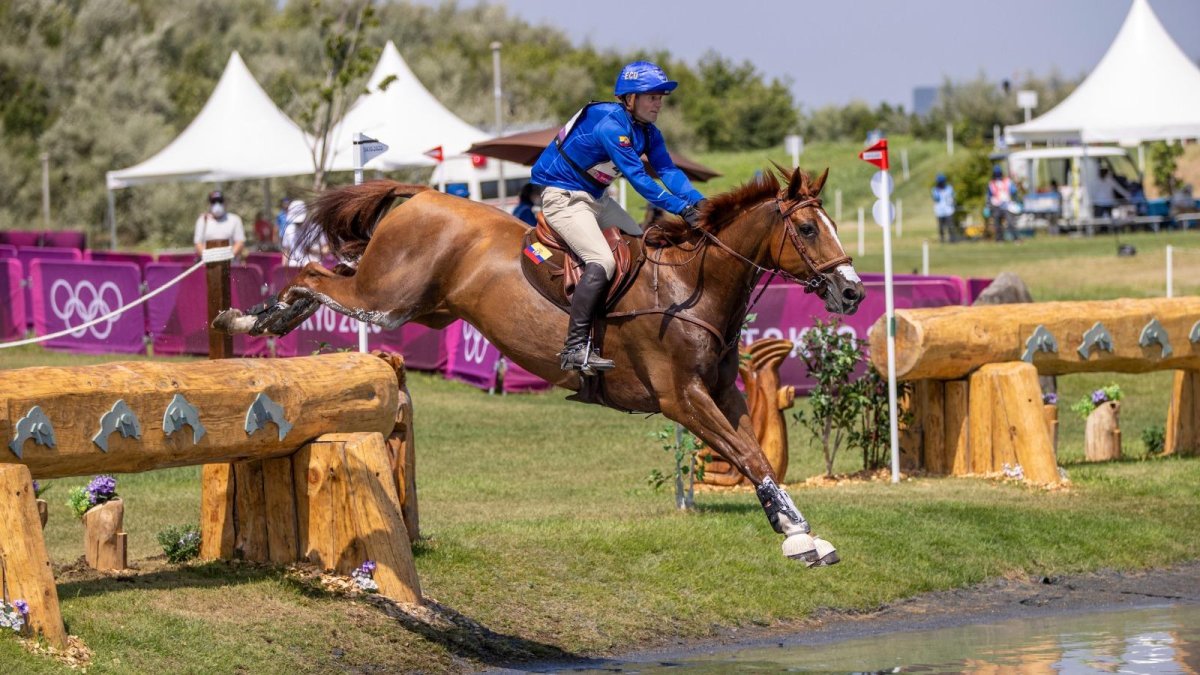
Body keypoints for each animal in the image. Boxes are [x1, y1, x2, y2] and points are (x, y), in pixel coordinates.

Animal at [216, 166, 865, 566]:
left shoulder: (722, 396)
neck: (690, 286)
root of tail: (419, 194)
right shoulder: (680, 398)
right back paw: (250, 319)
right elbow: (748, 455)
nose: (854, 291)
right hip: (388, 298)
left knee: (325, 278)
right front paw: (796, 541)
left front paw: (803, 532)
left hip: (423, 307)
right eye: (808, 227)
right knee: (311, 275)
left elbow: (755, 452)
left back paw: (266, 320)